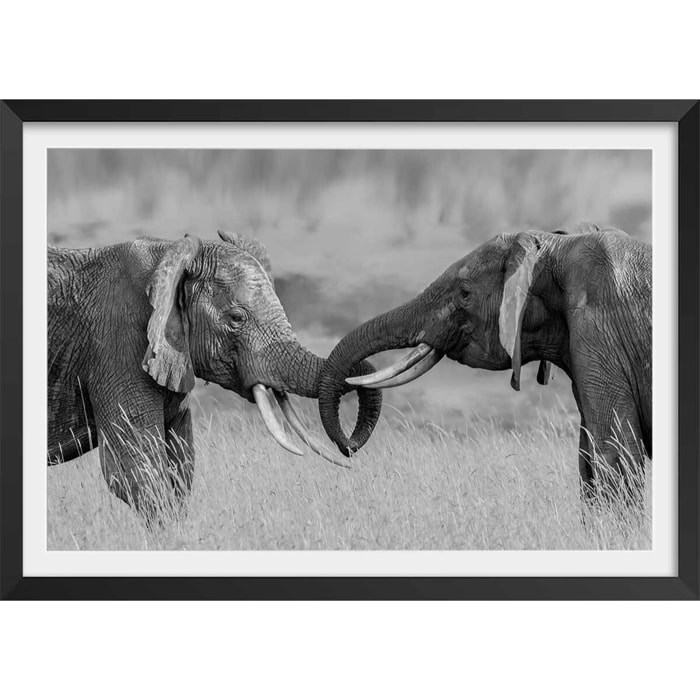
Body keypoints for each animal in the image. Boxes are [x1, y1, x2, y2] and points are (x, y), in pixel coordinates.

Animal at [48, 230, 381, 517]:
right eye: (236, 318)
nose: (349, 448)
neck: (167, 257)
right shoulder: (118, 346)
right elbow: (137, 475)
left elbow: (181, 470)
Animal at [317, 223, 651, 504]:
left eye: (465, 293)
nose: (349, 448)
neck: (556, 249)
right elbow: (587, 462)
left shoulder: (599, 331)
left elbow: (614, 454)